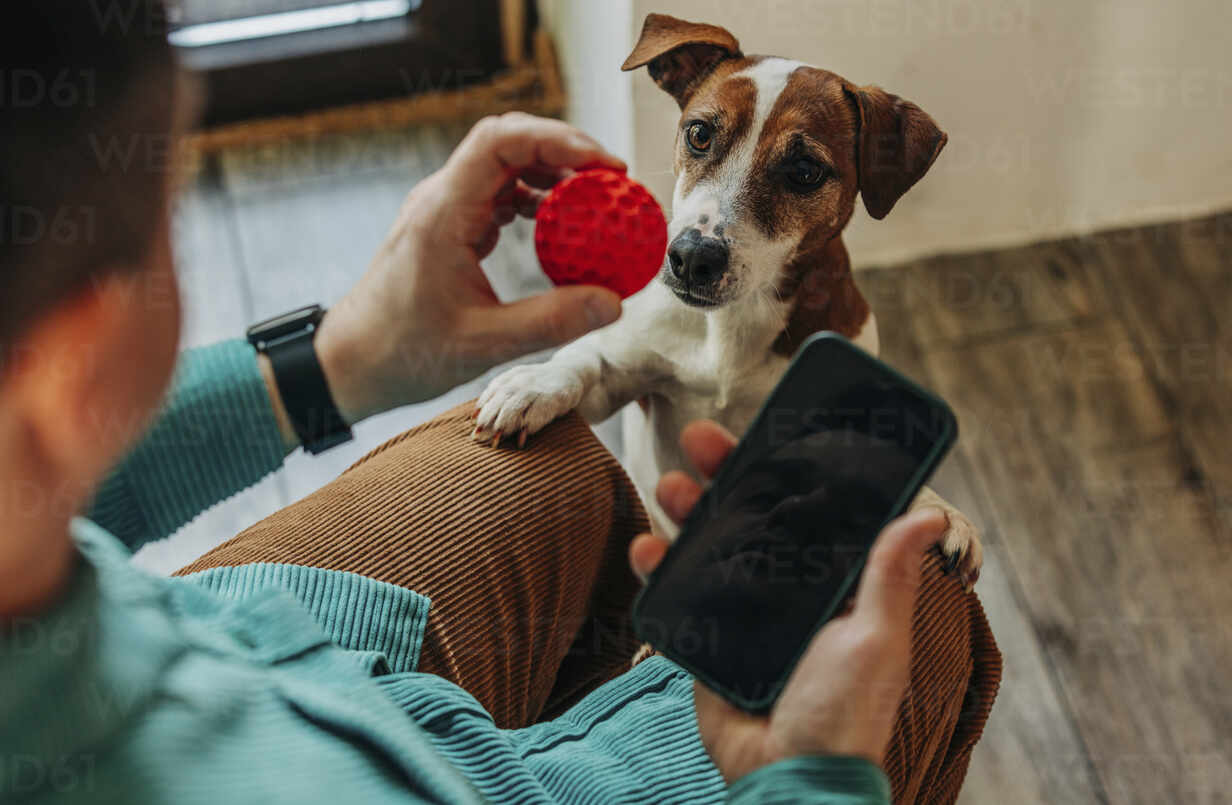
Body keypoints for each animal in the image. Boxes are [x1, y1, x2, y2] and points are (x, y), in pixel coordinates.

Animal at [470, 12, 980, 586]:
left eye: (806, 171)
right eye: (699, 133)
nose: (692, 257)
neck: (732, 326)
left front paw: (933, 507)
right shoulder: (627, 378)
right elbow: (585, 360)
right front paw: (534, 384)